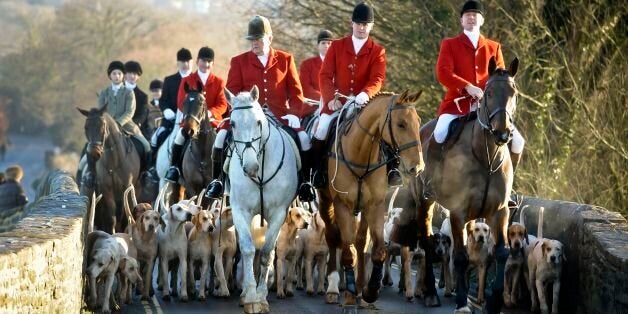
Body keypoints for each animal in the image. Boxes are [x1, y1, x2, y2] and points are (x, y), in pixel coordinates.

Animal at [78, 105, 141, 233]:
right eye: (86, 127)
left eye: (102, 125)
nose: (94, 153)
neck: (114, 162)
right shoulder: (106, 190)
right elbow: (111, 217)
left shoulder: (126, 187)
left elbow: (124, 215)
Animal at [226, 86, 300, 314]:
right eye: (232, 124)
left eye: (258, 122)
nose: (250, 167)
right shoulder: (240, 210)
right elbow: (248, 249)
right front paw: (250, 296)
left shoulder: (278, 213)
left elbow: (267, 252)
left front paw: (261, 296)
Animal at [316, 91, 424, 306]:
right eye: (401, 124)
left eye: (418, 122)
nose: (418, 166)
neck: (361, 155)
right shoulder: (342, 205)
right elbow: (347, 251)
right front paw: (348, 291)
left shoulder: (374, 205)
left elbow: (377, 250)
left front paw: (370, 291)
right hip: (326, 201)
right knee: (334, 237)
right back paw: (334, 286)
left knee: (360, 241)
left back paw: (359, 287)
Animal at [418, 57, 520, 312]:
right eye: (488, 93)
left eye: (514, 93)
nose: (503, 133)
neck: (487, 157)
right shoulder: (458, 211)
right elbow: (461, 256)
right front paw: (463, 302)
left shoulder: (499, 212)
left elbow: (501, 252)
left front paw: (494, 302)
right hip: (425, 201)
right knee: (427, 241)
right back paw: (431, 293)